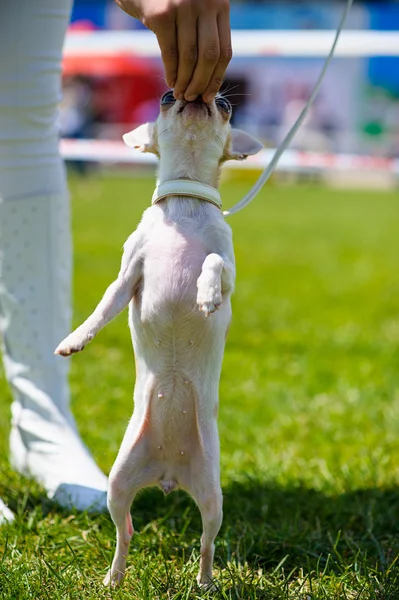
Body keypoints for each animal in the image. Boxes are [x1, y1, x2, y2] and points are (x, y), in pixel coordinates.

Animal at [55, 91, 262, 588]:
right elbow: (103, 308)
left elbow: (212, 263)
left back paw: (205, 583)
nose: (193, 93)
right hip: (117, 483)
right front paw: (74, 340)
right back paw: (113, 578)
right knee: (124, 531)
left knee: (206, 542)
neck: (184, 204)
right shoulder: (129, 274)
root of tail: (168, 474)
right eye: (165, 100)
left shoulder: (229, 268)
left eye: (227, 107)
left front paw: (206, 296)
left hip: (212, 496)